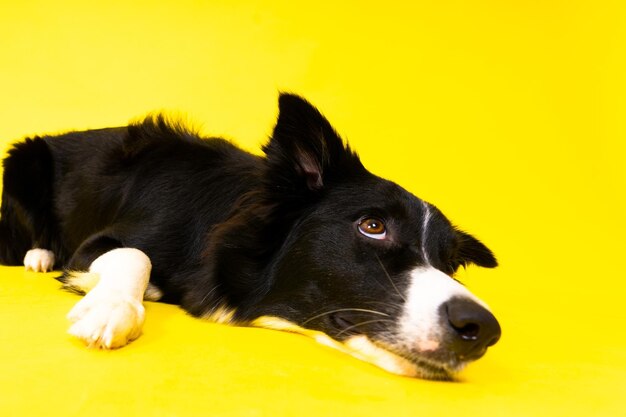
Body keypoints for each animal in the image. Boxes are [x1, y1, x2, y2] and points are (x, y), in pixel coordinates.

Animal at [0, 95, 500, 380]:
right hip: (22, 158)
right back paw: (39, 255)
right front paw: (109, 309)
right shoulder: (94, 245)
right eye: (373, 226)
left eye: (449, 263)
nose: (482, 328)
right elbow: (135, 256)